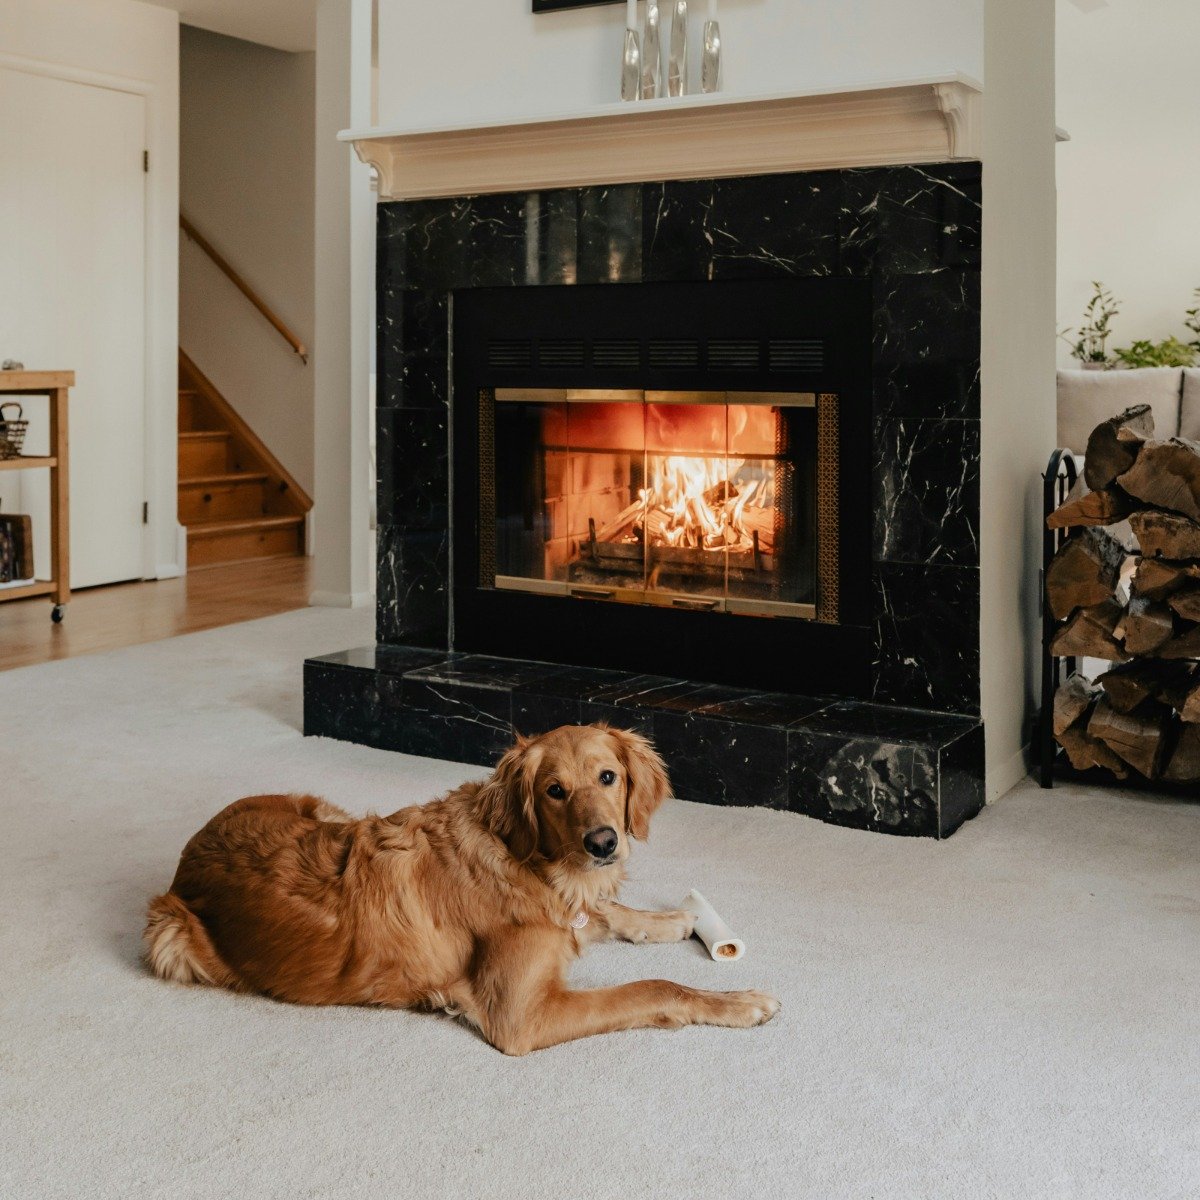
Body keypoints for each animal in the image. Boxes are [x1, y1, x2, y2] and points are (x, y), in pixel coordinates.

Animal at [142, 720, 777, 1051]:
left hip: (327, 810)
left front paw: (675, 919)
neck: (526, 860)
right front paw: (737, 1001)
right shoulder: (521, 1016)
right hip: (168, 935)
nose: (603, 843)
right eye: (554, 790)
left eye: (608, 776)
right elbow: (651, 987)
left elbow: (607, 911)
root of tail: (192, 849)